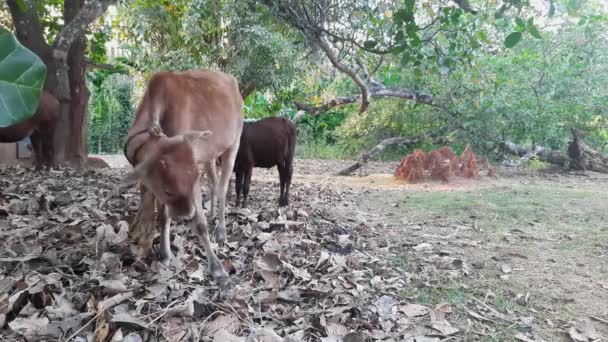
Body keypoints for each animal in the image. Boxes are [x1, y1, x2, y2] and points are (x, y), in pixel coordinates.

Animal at [122, 69, 243, 280]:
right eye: (168, 190)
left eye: (193, 180)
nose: (187, 214)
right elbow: (163, 217)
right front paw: (165, 255)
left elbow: (200, 225)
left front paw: (217, 267)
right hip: (209, 155)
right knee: (213, 182)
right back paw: (212, 214)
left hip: (233, 145)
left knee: (222, 188)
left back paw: (221, 230)